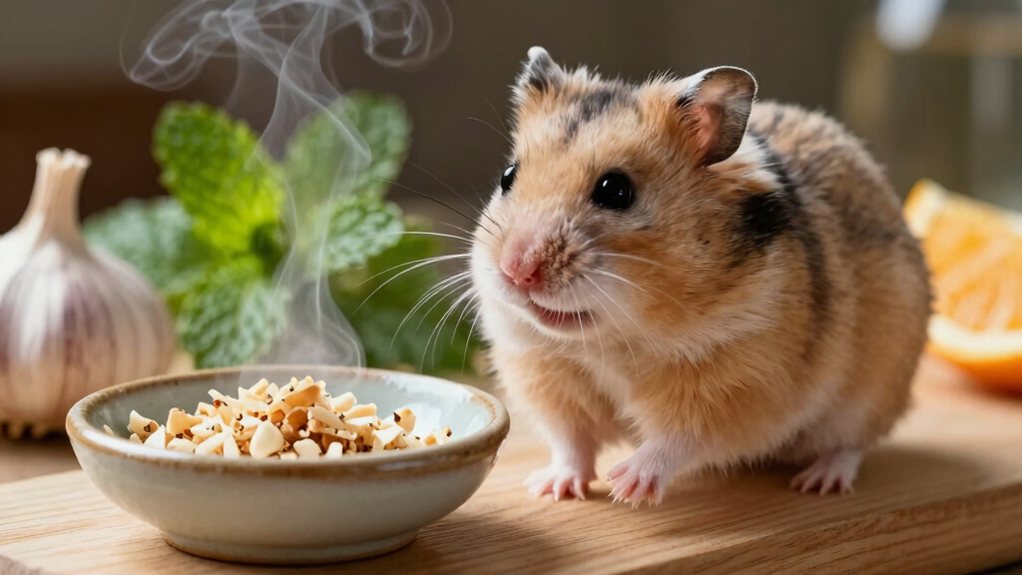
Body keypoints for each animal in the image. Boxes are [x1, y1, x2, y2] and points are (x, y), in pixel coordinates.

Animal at [469, 46, 930, 506]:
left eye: (616, 190)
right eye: (508, 176)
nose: (516, 270)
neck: (612, 340)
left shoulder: (738, 386)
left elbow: (678, 439)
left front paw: (626, 486)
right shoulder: (547, 376)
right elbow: (572, 442)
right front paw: (552, 489)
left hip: (873, 392)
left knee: (851, 444)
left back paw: (819, 481)